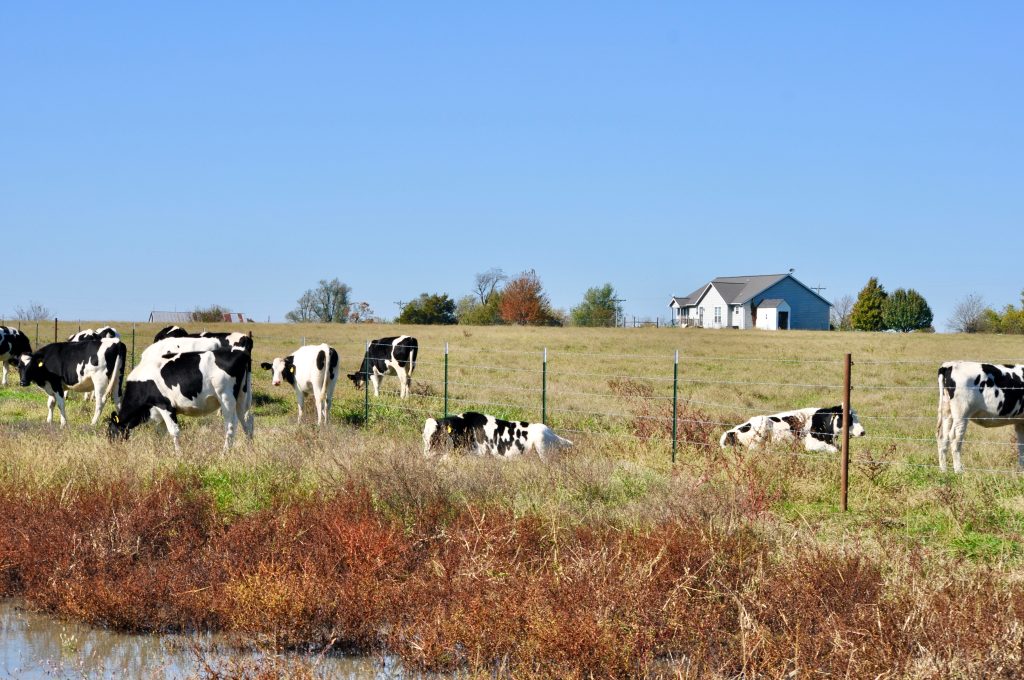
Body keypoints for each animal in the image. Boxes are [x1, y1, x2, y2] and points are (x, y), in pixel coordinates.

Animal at [108, 350, 253, 450]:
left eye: (110, 431)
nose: (112, 448)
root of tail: (241, 353)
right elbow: (160, 433)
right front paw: (158, 451)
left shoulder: (165, 406)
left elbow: (174, 431)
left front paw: (178, 454)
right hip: (242, 397)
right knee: (247, 422)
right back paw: (249, 448)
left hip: (226, 397)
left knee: (231, 425)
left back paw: (224, 453)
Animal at [419, 409, 573, 462]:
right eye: (424, 437)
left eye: (435, 436)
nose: (425, 455)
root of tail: (552, 434)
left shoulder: (480, 454)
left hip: (543, 452)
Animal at [720, 405, 864, 454]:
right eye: (849, 419)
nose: (863, 432)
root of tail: (731, 431)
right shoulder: (811, 444)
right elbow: (835, 450)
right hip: (762, 424)